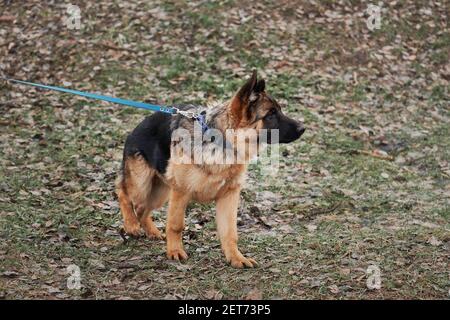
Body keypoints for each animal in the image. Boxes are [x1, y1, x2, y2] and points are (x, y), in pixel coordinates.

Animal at [116, 70, 306, 268]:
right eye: (271, 114)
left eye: (279, 110)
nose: (303, 128)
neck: (222, 140)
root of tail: (135, 129)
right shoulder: (181, 192)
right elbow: (176, 225)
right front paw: (175, 251)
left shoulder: (229, 196)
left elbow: (230, 232)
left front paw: (236, 258)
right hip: (142, 185)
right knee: (123, 193)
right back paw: (131, 225)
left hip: (160, 193)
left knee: (142, 209)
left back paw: (151, 231)